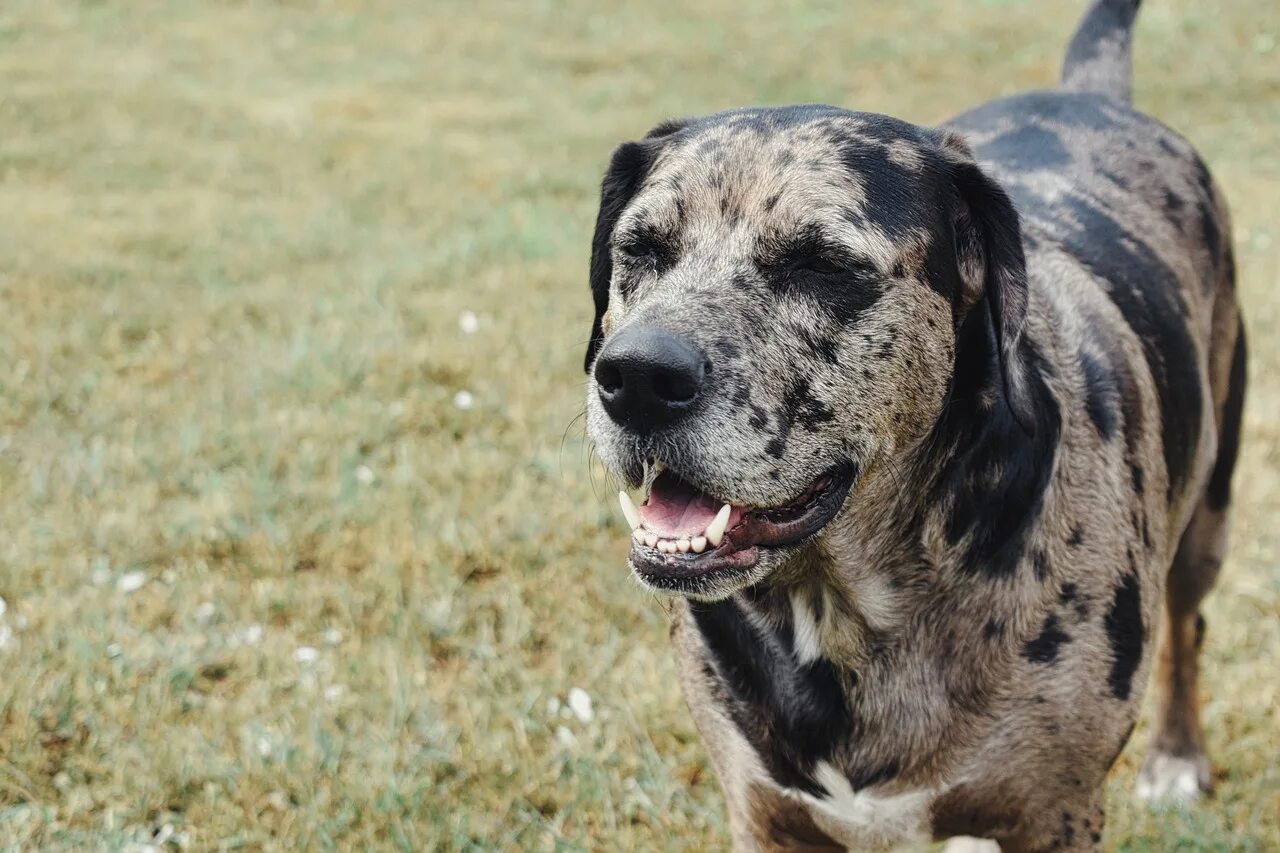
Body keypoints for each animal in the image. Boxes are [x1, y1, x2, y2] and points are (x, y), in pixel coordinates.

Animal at [578, 1, 1239, 845]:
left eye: (824, 263)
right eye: (640, 248)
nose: (637, 377)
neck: (844, 608)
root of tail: (1091, 95)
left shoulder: (1057, 815)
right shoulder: (764, 815)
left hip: (1209, 510)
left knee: (1190, 626)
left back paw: (1179, 755)